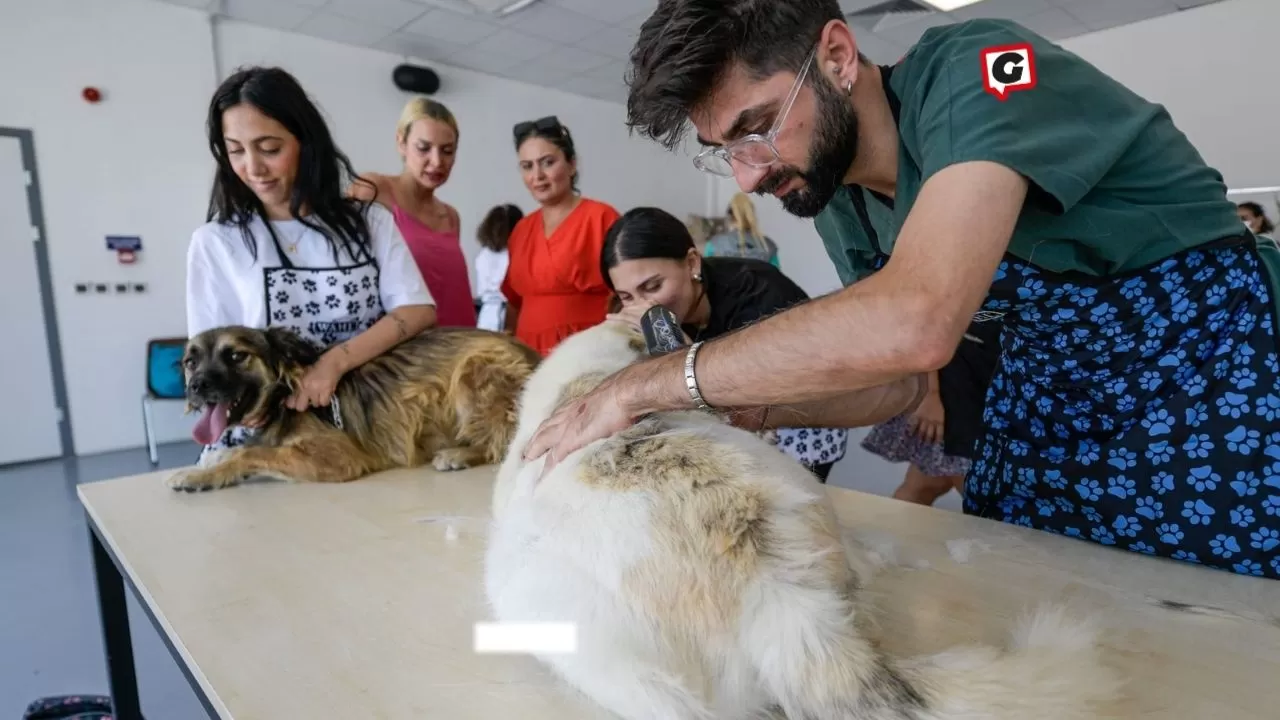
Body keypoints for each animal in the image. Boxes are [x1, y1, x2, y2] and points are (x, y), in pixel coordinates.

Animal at [166, 324, 540, 486]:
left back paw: (458, 455)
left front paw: (198, 474)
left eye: (235, 356)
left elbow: (251, 453)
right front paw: (213, 462)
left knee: (505, 443)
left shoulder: (338, 456)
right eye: (190, 363)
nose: (197, 387)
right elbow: (247, 450)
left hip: (475, 370)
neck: (283, 395)